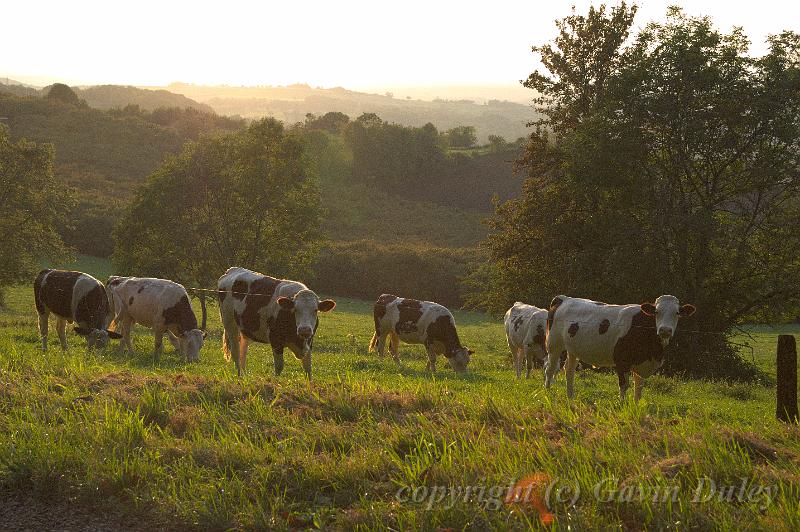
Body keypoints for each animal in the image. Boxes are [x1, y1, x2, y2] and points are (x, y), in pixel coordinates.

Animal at [544, 296, 692, 400]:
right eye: (656, 311)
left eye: (677, 313)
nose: (665, 330)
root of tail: (564, 298)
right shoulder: (621, 361)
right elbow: (624, 385)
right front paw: (622, 405)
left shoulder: (642, 364)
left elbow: (638, 389)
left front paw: (636, 407)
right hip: (554, 345)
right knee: (550, 369)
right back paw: (547, 392)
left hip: (573, 349)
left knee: (569, 370)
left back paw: (570, 396)